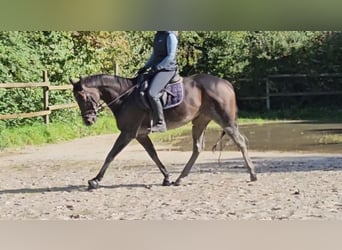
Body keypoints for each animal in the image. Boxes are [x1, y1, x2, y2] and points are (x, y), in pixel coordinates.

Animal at [70, 72, 256, 189]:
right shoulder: (141, 135)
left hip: (225, 120)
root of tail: (225, 83)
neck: (125, 97)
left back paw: (253, 174)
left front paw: (95, 181)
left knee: (240, 142)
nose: (88, 120)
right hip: (200, 121)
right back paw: (180, 179)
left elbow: (111, 154)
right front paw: (166, 178)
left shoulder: (128, 133)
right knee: (197, 148)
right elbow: (153, 155)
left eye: (83, 96)